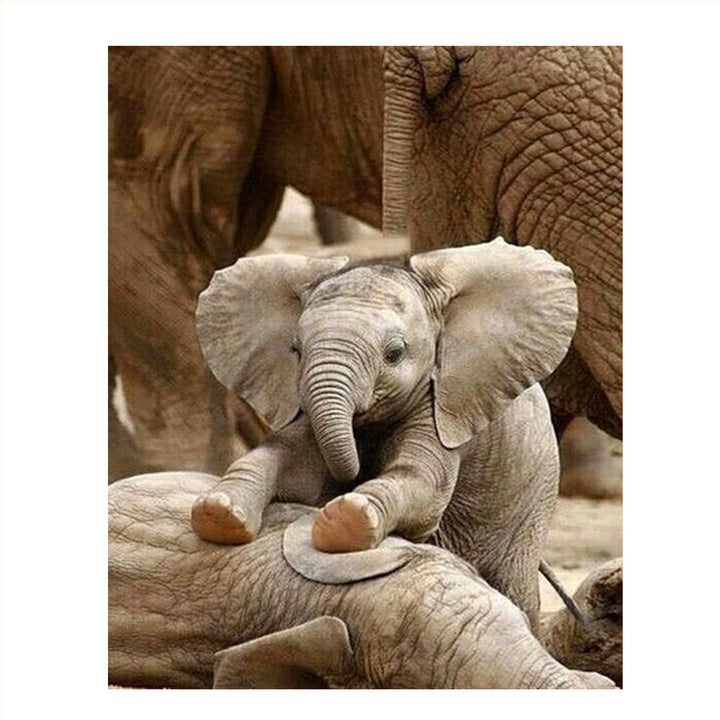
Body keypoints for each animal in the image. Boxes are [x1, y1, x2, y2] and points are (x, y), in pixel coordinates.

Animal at [189, 239, 577, 633]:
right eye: (295, 351)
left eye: (395, 354)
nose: (353, 475)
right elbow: (290, 463)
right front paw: (218, 512)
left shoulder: (442, 404)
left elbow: (422, 485)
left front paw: (344, 518)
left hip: (533, 499)